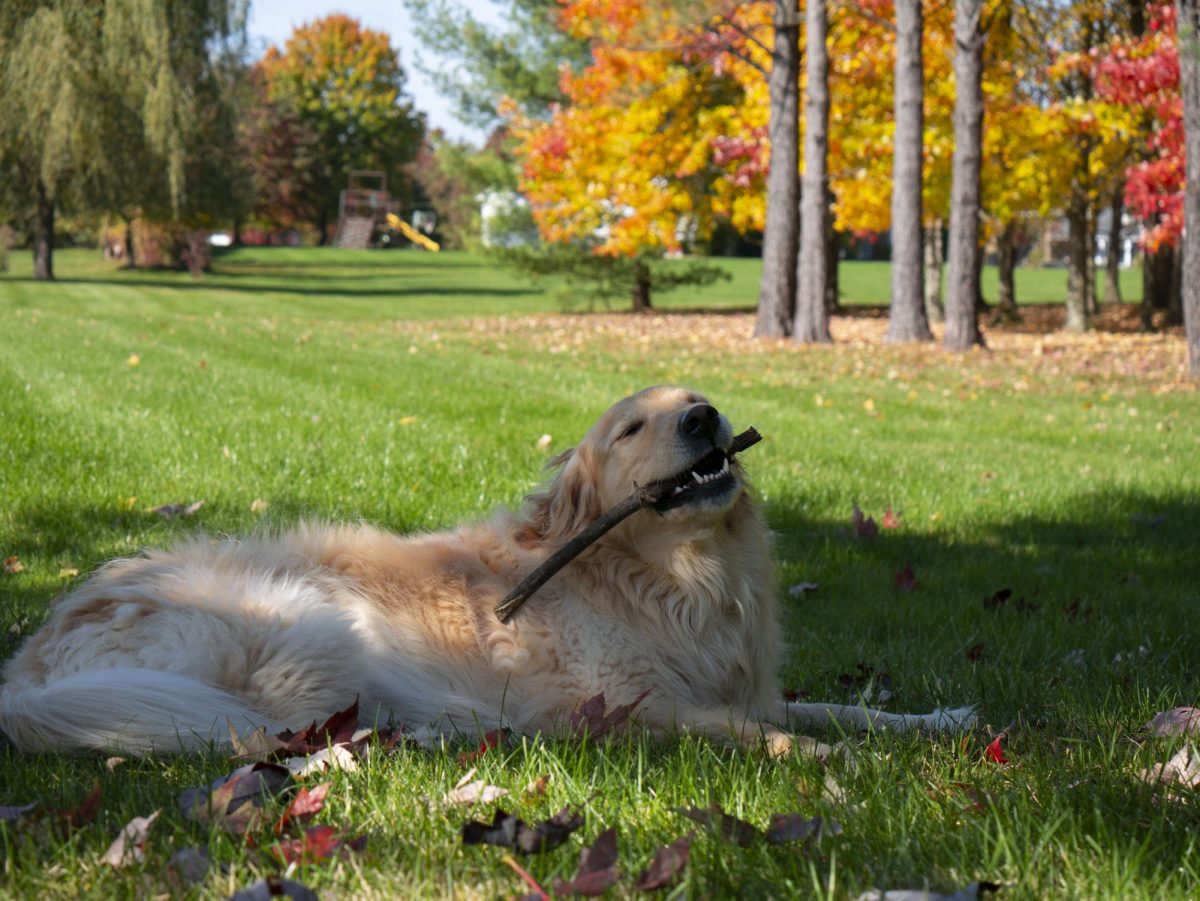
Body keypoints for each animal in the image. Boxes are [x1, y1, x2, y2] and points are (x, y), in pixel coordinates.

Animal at [0, 383, 974, 758]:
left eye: (701, 400)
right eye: (632, 427)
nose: (704, 417)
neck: (678, 577)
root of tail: (30, 666)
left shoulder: (744, 682)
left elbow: (843, 705)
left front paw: (942, 718)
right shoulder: (622, 704)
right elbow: (749, 729)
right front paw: (822, 758)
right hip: (306, 622)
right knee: (263, 732)